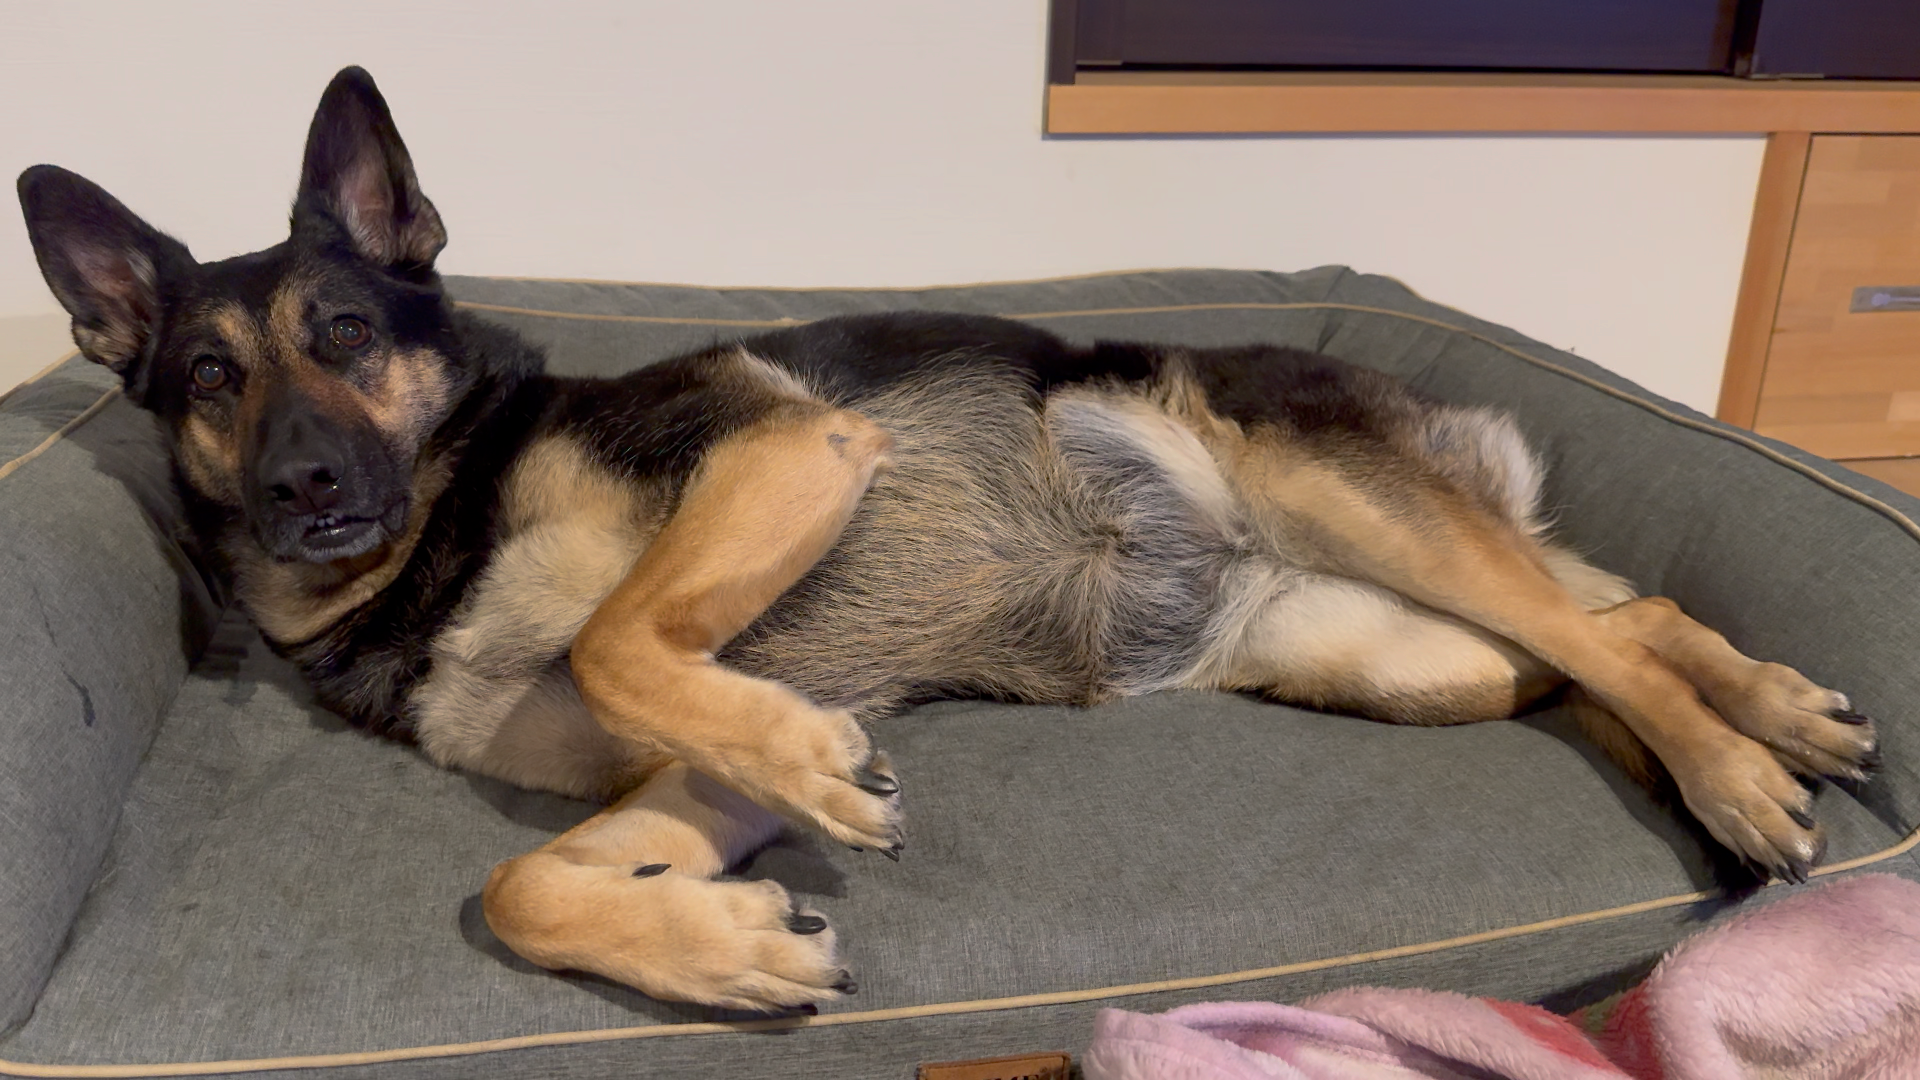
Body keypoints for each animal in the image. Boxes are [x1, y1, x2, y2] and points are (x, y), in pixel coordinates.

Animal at [17, 67, 1879, 1013]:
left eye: (342, 332)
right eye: (206, 376)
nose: (303, 492)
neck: (439, 531)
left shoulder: (783, 447)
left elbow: (627, 636)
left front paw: (814, 777)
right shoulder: (679, 781)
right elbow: (522, 878)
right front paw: (727, 952)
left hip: (1350, 501)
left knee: (1611, 630)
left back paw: (1743, 770)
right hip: (1406, 658)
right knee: (1614, 633)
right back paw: (1770, 716)